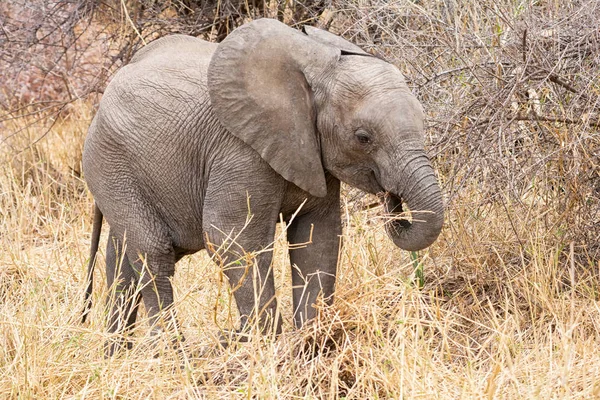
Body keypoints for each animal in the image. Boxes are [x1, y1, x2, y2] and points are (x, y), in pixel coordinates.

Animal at [82, 19, 442, 356]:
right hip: (109, 162)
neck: (317, 67)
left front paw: (311, 342)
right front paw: (263, 345)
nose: (391, 197)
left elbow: (319, 237)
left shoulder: (312, 154)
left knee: (123, 257)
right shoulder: (240, 152)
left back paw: (116, 357)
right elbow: (231, 236)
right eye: (363, 137)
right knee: (154, 254)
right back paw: (173, 354)